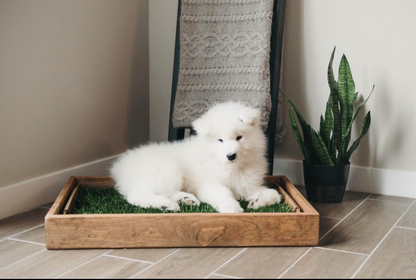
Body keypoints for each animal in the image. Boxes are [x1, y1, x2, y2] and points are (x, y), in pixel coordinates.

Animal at [109, 101, 282, 213]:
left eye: (239, 137)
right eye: (220, 140)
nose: (231, 156)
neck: (232, 167)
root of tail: (120, 167)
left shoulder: (247, 185)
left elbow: (275, 194)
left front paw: (257, 202)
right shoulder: (208, 184)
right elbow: (223, 193)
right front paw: (232, 208)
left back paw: (185, 199)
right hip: (168, 171)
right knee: (136, 195)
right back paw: (167, 205)